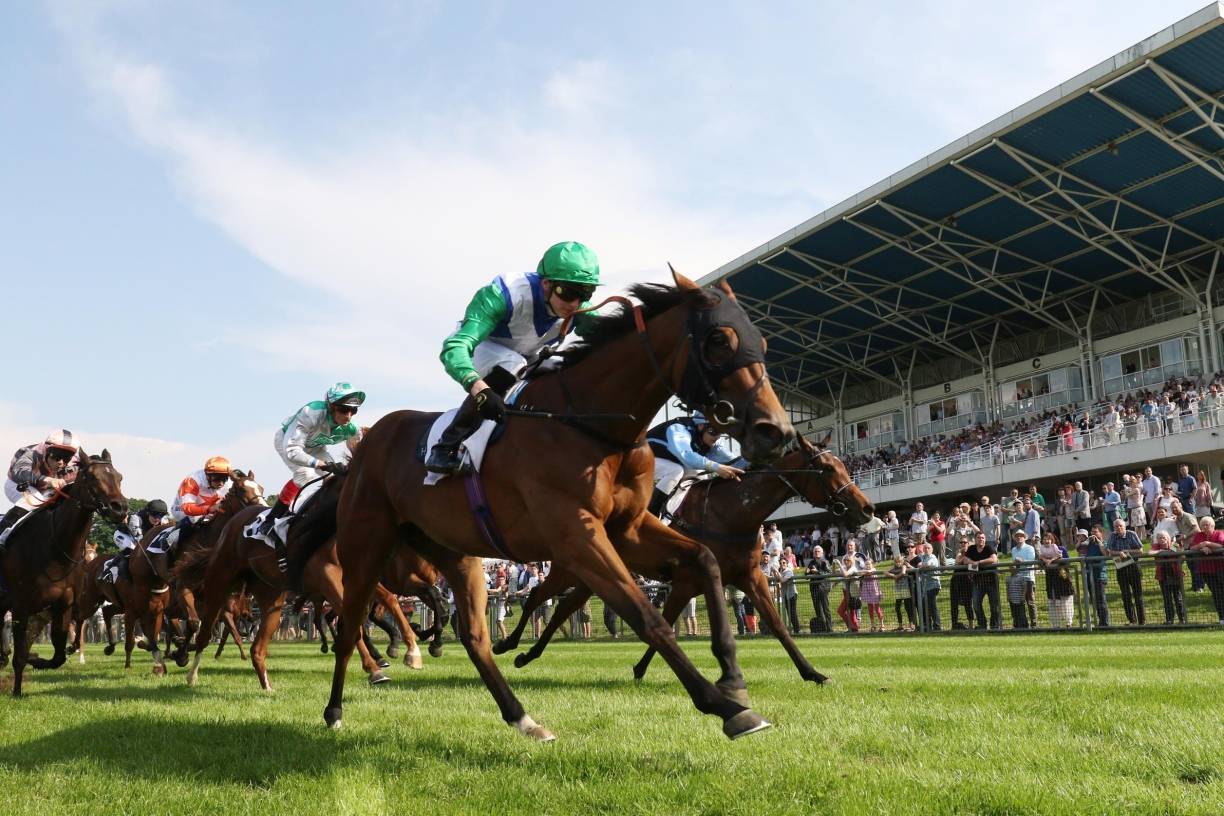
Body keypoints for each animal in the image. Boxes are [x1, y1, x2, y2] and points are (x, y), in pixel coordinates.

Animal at [0, 450, 127, 699]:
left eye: (119, 477)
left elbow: (58, 655)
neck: (55, 547)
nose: (120, 508)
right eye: (91, 477)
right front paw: (17, 690)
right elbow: (20, 654)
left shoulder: (64, 604)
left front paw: (37, 660)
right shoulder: (21, 606)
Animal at [315, 272, 793, 738]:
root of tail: (367, 444)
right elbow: (647, 617)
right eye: (720, 339)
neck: (589, 426)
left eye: (764, 343)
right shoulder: (577, 537)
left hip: (454, 553)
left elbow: (705, 559)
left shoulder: (628, 527)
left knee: (472, 635)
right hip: (367, 550)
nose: (776, 431)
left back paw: (522, 718)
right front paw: (724, 706)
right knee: (349, 625)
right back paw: (337, 707)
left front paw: (732, 677)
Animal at [492, 440, 876, 685]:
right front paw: (642, 668)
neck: (731, 512)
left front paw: (812, 672)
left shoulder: (749, 576)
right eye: (826, 468)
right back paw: (507, 645)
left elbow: (778, 625)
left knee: (561, 609)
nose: (867, 508)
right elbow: (664, 619)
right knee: (537, 597)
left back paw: (528, 654)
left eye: (844, 465)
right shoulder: (689, 579)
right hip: (570, 567)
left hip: (591, 576)